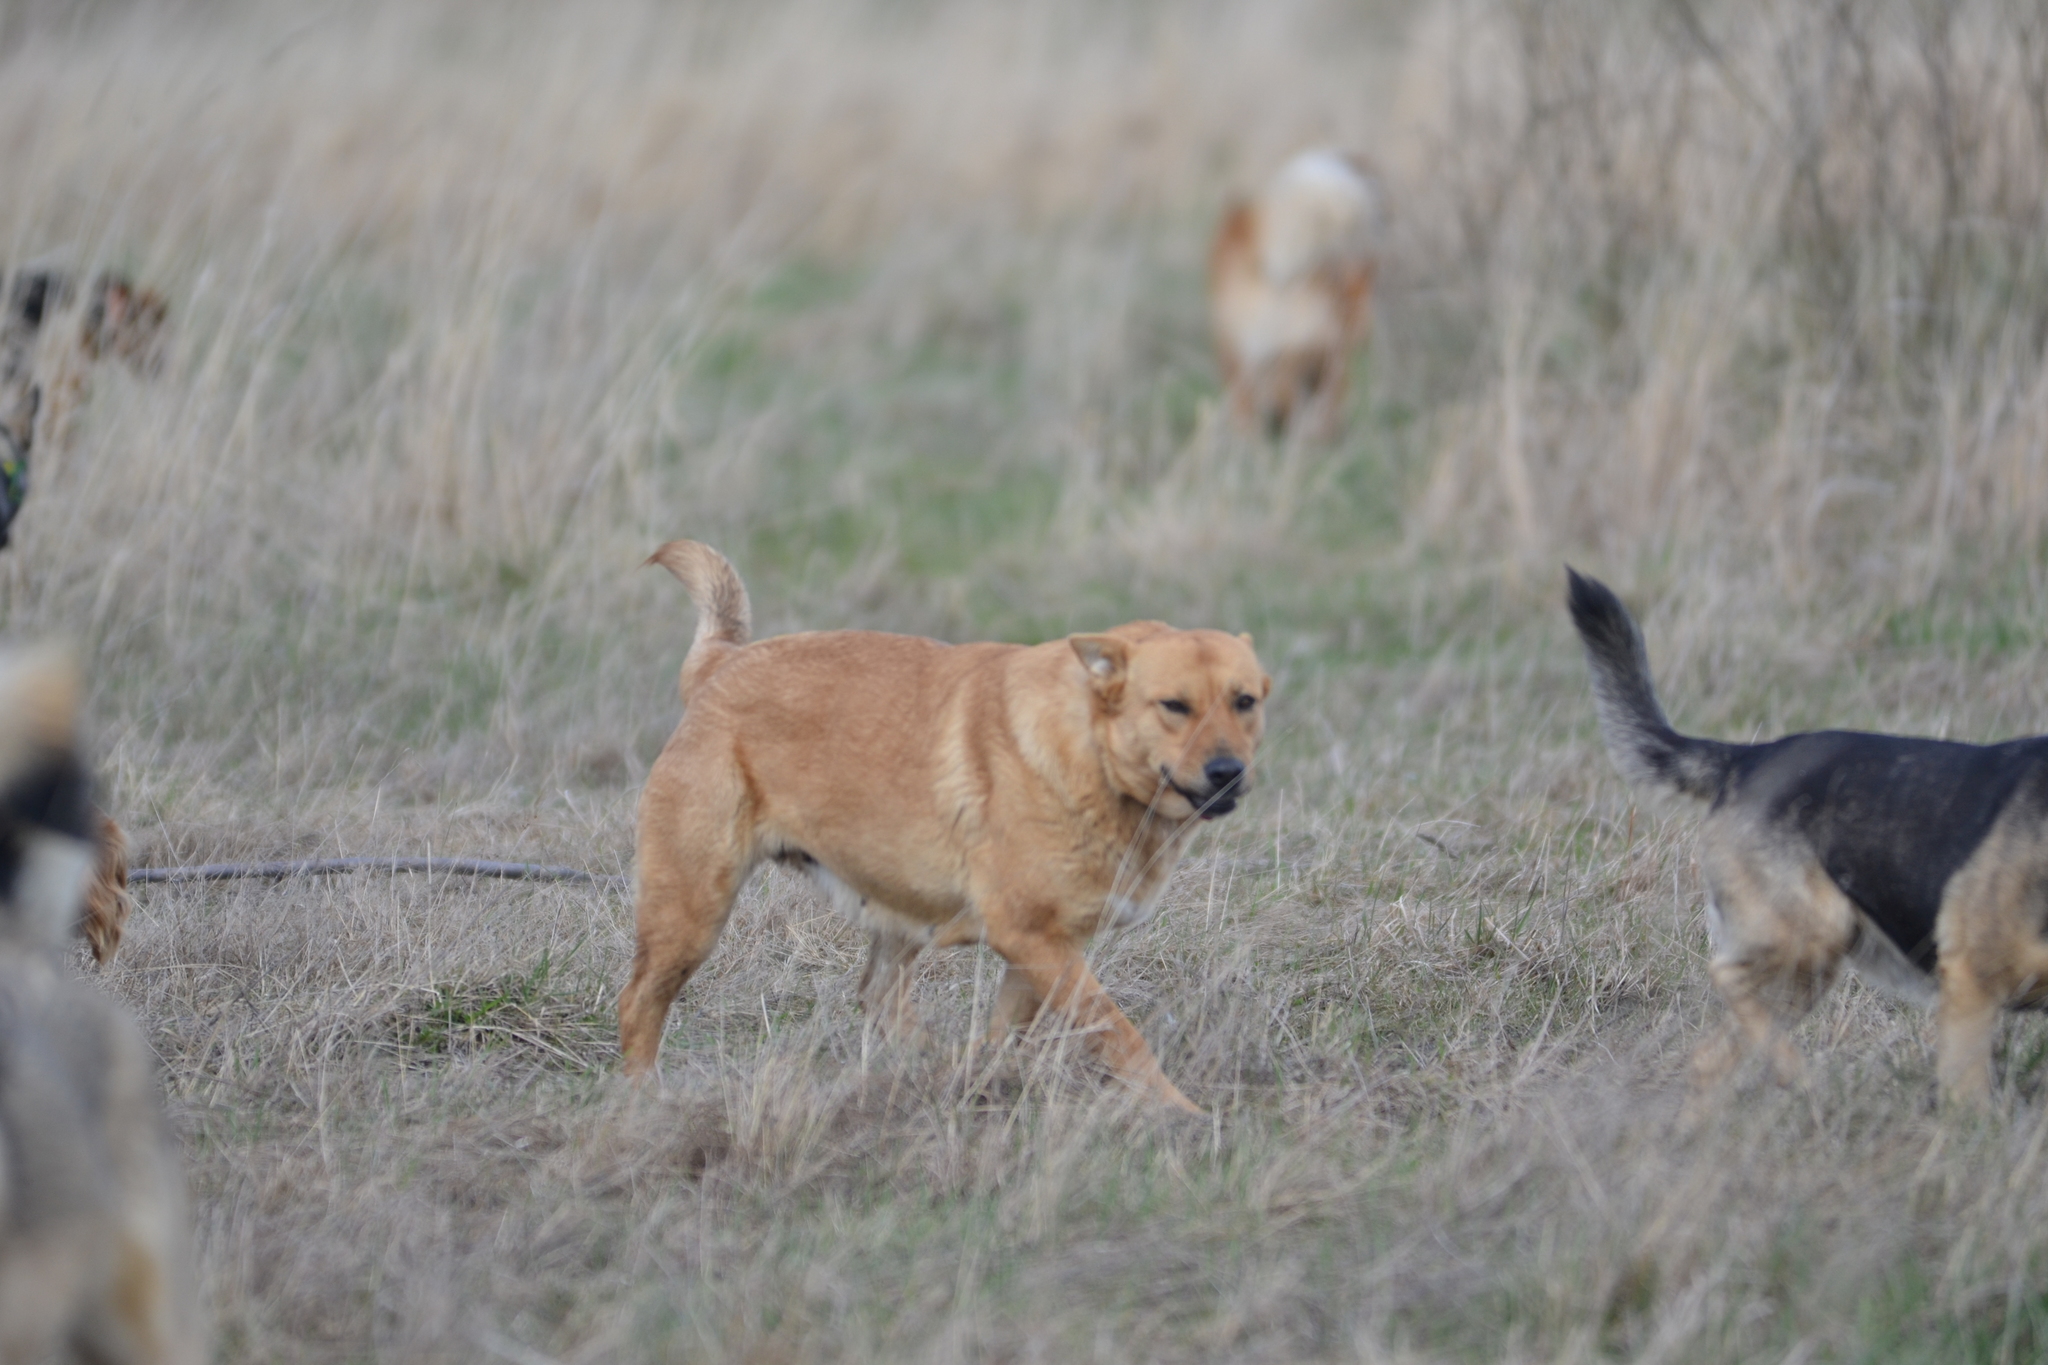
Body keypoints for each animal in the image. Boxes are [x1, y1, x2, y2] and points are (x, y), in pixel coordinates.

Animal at [622, 540, 1269, 1113]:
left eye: (1246, 701)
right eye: (1174, 706)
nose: (1228, 773)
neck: (1092, 751)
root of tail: (722, 664)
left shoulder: (1044, 946)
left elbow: (1005, 1034)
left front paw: (981, 1081)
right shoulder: (1032, 937)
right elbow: (1119, 1034)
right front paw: (1180, 1112)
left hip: (895, 920)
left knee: (879, 1000)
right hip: (691, 913)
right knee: (637, 1004)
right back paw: (642, 1100)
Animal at [1204, 154, 1384, 444]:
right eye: (1360, 304)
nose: (1365, 335)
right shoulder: (1329, 360)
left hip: (1253, 358)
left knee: (1262, 408)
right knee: (1289, 396)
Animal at [1572, 568, 2048, 1113]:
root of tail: (1747, 758)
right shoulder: (1972, 983)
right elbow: (1969, 1103)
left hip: (1802, 972)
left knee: (1709, 1059)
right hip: (1814, 934)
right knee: (1726, 976)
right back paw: (1796, 1076)